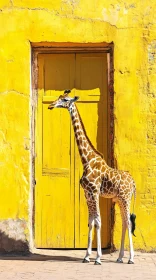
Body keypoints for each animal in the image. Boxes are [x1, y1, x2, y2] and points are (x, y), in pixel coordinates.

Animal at [48, 89, 136, 264]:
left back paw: (130, 258)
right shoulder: (87, 193)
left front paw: (98, 258)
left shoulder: (94, 192)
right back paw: (120, 257)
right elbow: (90, 222)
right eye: (58, 97)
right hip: (118, 199)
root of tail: (133, 182)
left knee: (129, 222)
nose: (51, 105)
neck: (86, 160)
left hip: (125, 197)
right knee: (124, 222)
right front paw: (87, 256)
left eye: (65, 100)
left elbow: (98, 221)